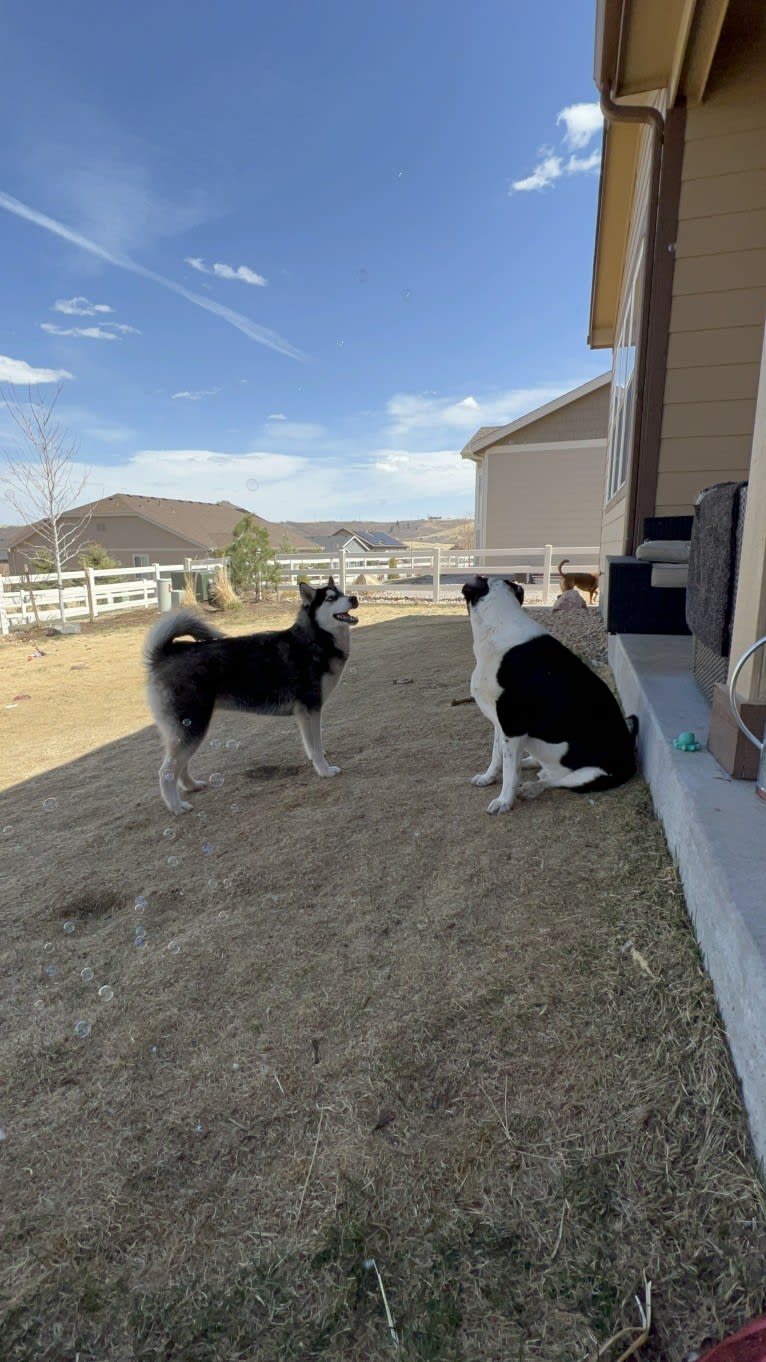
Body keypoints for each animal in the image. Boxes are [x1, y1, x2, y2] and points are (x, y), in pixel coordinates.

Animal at [143, 574, 357, 806]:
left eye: (343, 592)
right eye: (330, 598)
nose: (354, 598)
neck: (315, 639)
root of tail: (165, 653)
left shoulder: (303, 713)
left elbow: (310, 743)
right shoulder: (312, 707)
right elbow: (316, 746)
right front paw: (325, 770)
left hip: (188, 730)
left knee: (181, 765)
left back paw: (191, 786)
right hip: (193, 726)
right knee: (166, 771)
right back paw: (177, 806)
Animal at [463, 572, 635, 811]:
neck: (498, 623)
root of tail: (631, 763)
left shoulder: (512, 726)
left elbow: (509, 771)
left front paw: (504, 800)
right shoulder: (500, 723)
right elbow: (497, 756)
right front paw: (488, 777)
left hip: (592, 775)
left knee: (555, 781)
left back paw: (531, 787)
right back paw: (529, 765)